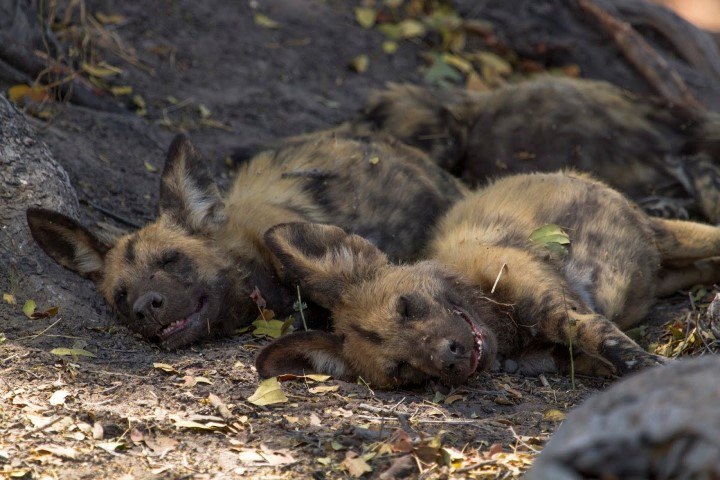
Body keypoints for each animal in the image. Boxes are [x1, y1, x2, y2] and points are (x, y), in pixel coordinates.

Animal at [258, 171, 720, 388]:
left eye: (407, 307)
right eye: (402, 370)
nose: (450, 358)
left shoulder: (562, 311)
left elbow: (616, 348)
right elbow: (613, 361)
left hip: (665, 237)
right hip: (664, 273)